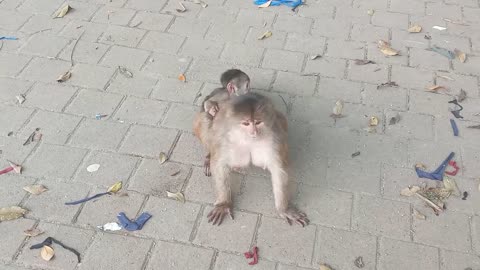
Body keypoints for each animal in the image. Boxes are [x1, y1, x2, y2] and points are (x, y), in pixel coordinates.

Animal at [191, 92, 308, 226]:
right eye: (246, 123)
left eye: (258, 122)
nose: (254, 132)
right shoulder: (225, 138)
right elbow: (219, 165)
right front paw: (224, 203)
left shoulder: (274, 138)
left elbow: (279, 170)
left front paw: (284, 209)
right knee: (206, 118)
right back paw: (209, 155)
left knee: (282, 118)